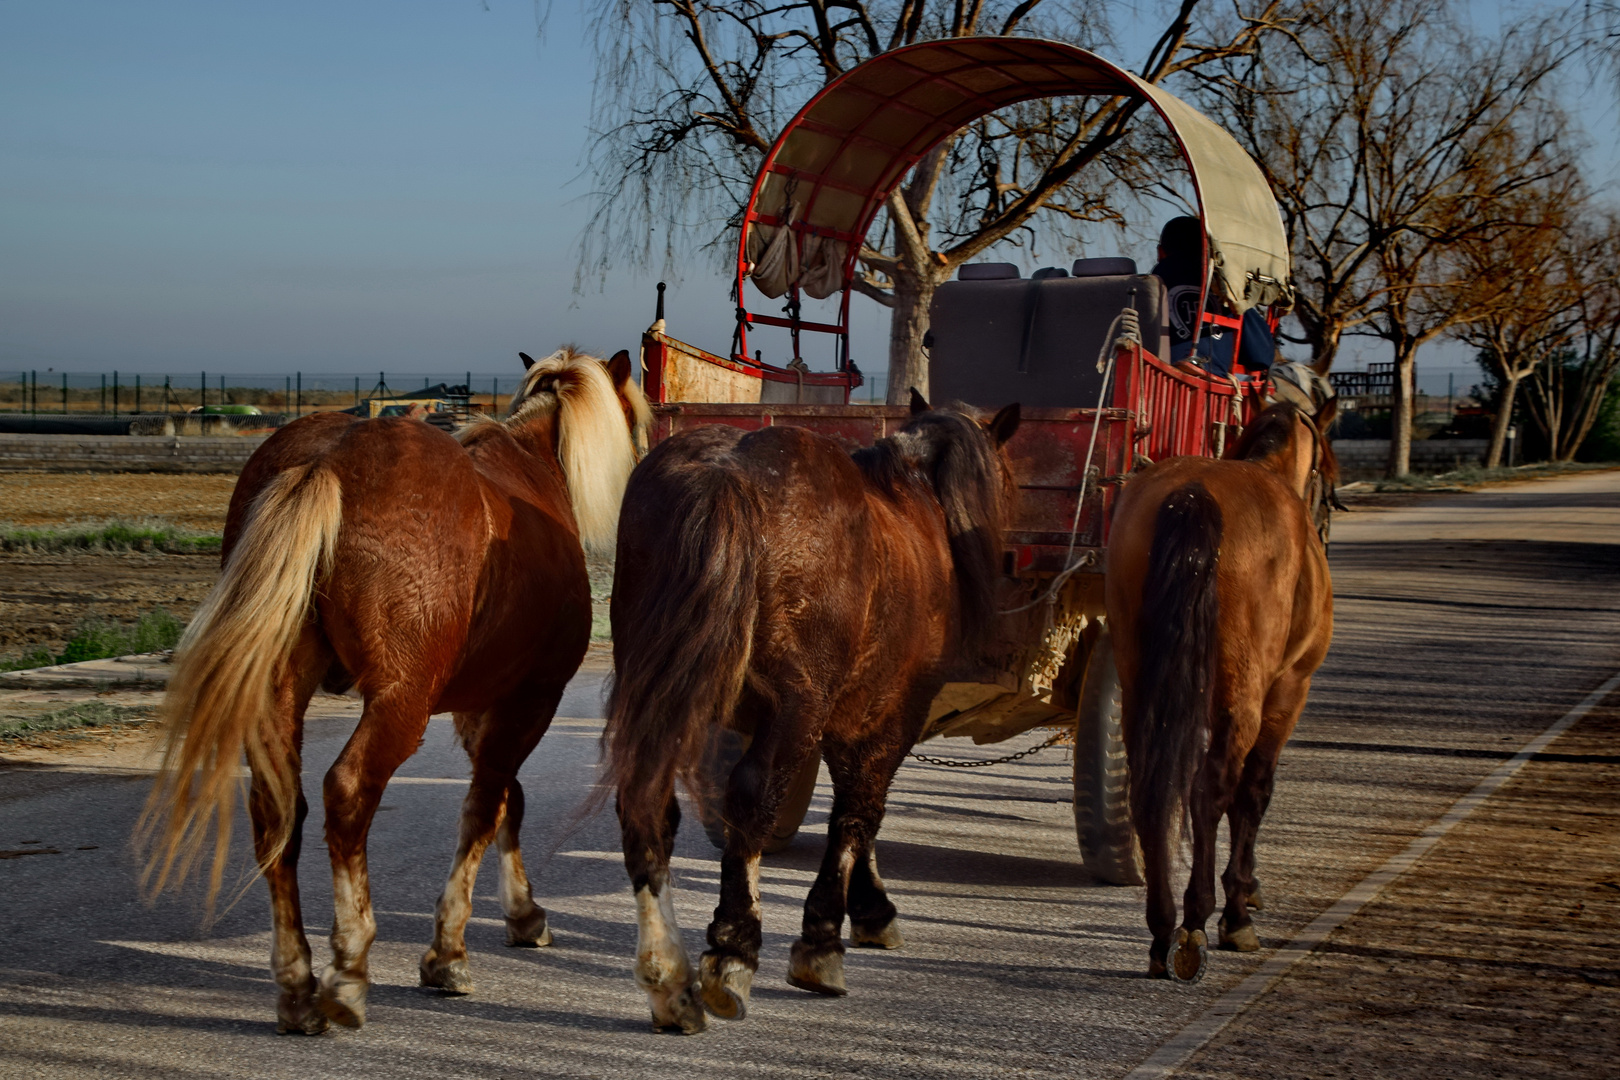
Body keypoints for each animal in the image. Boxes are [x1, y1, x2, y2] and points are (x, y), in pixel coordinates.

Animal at [144, 344, 651, 1029]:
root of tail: (327, 459)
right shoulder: (530, 698)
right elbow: (485, 809)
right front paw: (448, 952)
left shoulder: (479, 705)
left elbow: (506, 801)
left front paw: (522, 914)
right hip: (400, 704)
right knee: (348, 794)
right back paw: (349, 967)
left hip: (283, 692)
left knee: (278, 810)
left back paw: (297, 984)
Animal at [602, 393, 1017, 1036]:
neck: (913, 503)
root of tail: (725, 474)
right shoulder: (893, 714)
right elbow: (857, 814)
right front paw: (823, 940)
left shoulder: (846, 718)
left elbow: (860, 809)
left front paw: (869, 909)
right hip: (794, 706)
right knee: (751, 799)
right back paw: (733, 951)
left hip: (665, 695)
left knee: (648, 804)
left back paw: (667, 976)